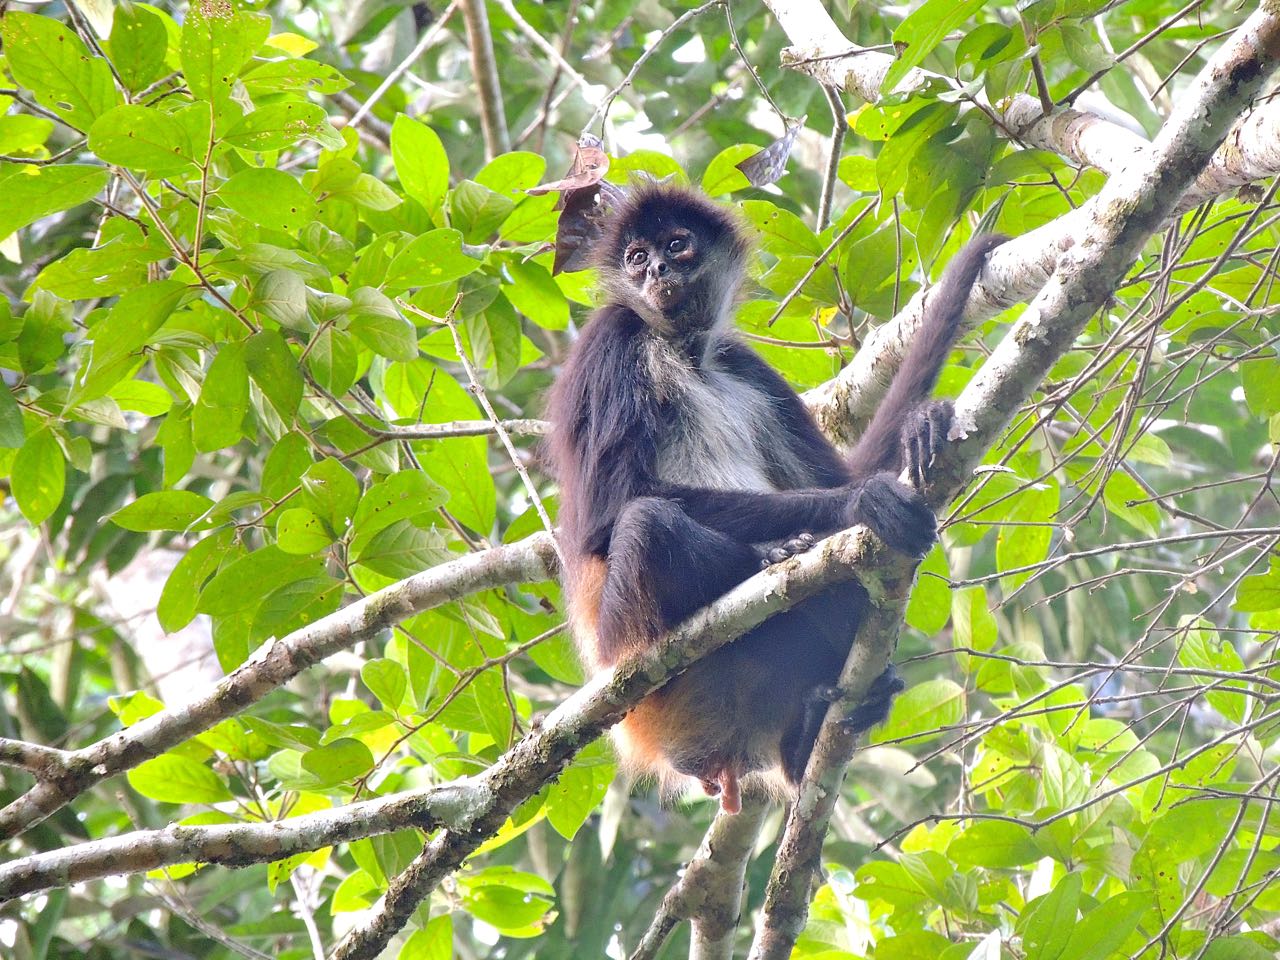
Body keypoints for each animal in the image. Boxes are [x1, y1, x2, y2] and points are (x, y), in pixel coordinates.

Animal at [545, 180, 1003, 814]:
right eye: (637, 258)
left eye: (676, 245)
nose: (656, 269)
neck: (684, 350)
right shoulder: (612, 338)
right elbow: (607, 514)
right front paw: (857, 503)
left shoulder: (742, 364)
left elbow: (834, 470)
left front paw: (921, 423)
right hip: (634, 655)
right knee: (646, 524)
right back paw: (773, 559)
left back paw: (808, 735)